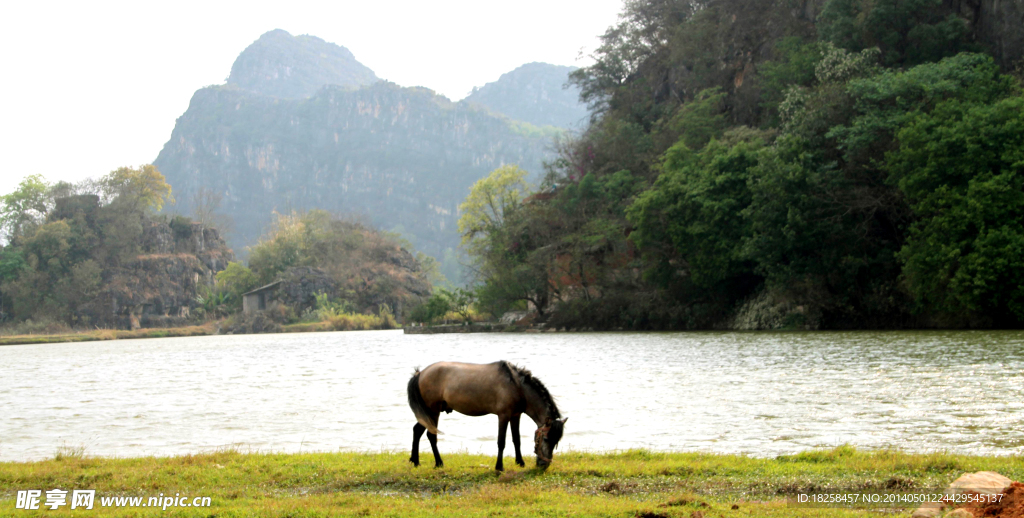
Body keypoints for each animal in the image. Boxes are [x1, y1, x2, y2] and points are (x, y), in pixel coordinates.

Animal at [407, 362, 569, 470]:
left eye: (556, 442)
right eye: (546, 438)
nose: (544, 464)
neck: (516, 386)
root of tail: (420, 373)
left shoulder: (515, 416)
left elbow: (516, 440)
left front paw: (520, 462)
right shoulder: (503, 416)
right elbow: (501, 442)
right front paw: (499, 467)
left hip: (428, 413)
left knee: (417, 430)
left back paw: (415, 461)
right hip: (433, 411)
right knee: (431, 435)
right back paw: (439, 463)